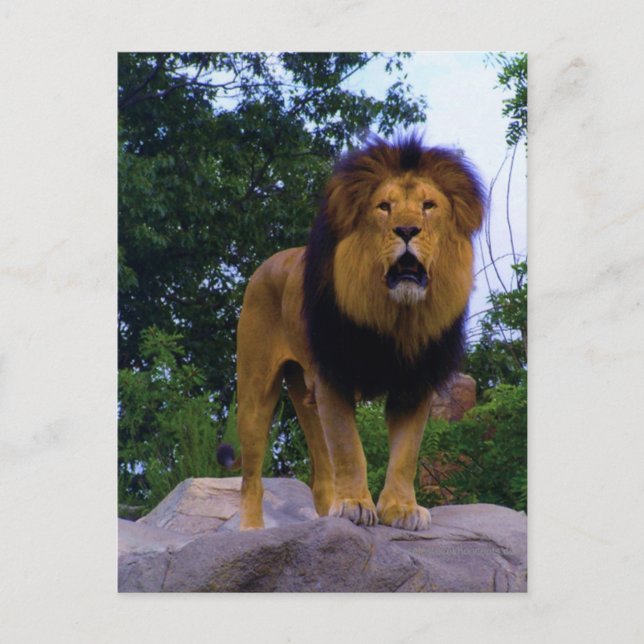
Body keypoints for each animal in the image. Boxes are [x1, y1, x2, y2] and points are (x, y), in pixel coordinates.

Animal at [219, 134, 485, 531]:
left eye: (428, 206)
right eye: (384, 207)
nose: (407, 231)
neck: (396, 314)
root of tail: (268, 263)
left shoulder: (414, 384)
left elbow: (406, 453)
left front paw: (402, 509)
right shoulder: (334, 376)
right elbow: (349, 448)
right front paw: (356, 506)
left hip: (305, 394)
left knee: (320, 476)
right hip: (255, 390)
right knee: (251, 476)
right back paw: (252, 531)